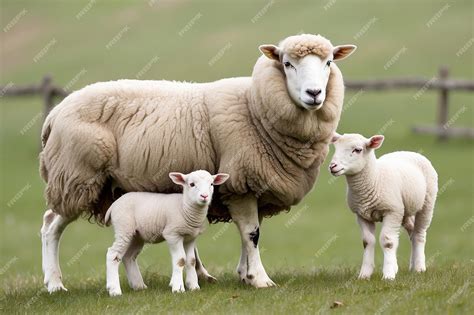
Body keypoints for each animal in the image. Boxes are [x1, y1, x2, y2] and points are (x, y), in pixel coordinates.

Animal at [40, 33, 358, 292]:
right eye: (287, 63)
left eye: (329, 62)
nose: (314, 94)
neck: (255, 106)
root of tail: (55, 113)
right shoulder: (242, 182)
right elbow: (251, 233)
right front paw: (259, 279)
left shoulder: (252, 187)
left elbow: (250, 234)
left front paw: (243, 274)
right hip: (75, 176)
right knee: (50, 226)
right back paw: (54, 284)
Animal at [330, 132, 436, 280]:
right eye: (335, 148)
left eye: (357, 150)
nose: (332, 166)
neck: (375, 177)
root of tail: (409, 151)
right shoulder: (361, 214)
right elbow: (367, 241)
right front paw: (364, 274)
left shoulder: (392, 211)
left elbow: (388, 241)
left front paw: (388, 275)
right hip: (404, 210)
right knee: (412, 231)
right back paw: (411, 266)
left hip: (427, 202)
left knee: (419, 234)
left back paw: (420, 267)